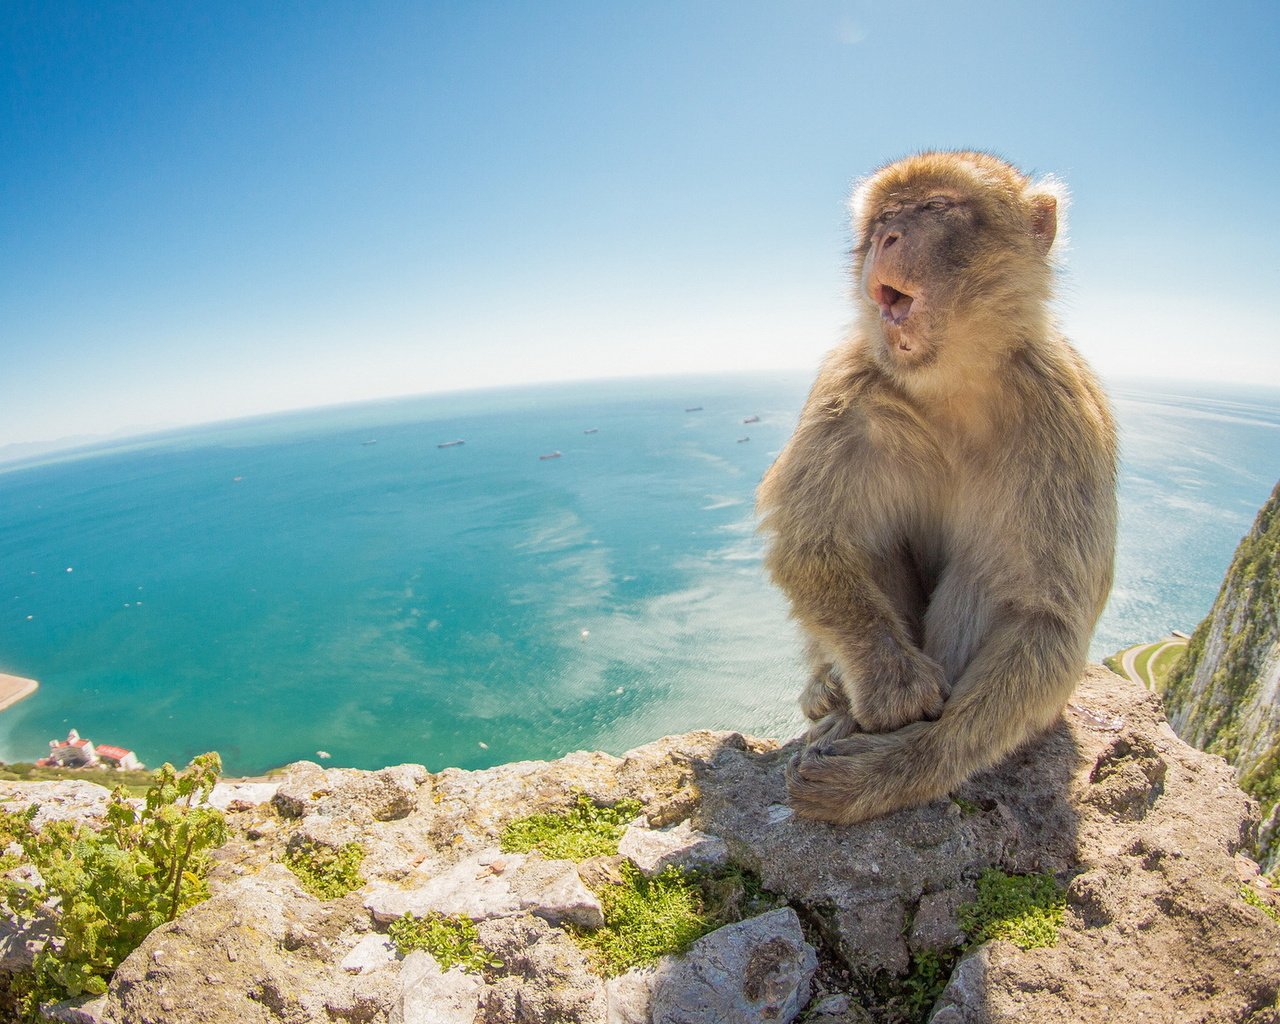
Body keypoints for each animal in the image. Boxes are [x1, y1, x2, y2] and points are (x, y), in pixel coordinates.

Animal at [752, 152, 1116, 824]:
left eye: (935, 208)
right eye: (883, 217)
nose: (887, 238)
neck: (952, 384)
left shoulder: (1066, 417)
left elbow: (1044, 618)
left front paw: (901, 765)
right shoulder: (846, 387)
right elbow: (810, 543)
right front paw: (891, 683)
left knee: (986, 577)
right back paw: (835, 692)